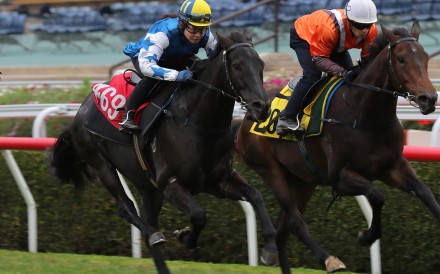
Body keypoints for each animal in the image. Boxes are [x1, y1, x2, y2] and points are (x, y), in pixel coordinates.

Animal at [49, 30, 278, 274]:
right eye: (236, 65)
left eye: (261, 64)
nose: (262, 107)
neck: (198, 123)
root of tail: (79, 112)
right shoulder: (171, 183)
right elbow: (199, 215)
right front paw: (185, 237)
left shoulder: (218, 181)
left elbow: (256, 196)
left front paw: (270, 249)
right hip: (102, 164)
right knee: (127, 208)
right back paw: (153, 234)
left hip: (148, 187)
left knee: (148, 219)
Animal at [235, 22, 438, 274]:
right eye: (401, 59)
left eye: (425, 56)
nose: (429, 99)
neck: (364, 115)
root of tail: (248, 116)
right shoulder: (340, 177)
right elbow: (376, 194)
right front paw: (366, 236)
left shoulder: (393, 167)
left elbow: (425, 193)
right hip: (270, 171)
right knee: (294, 222)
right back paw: (328, 259)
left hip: (303, 181)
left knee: (284, 230)